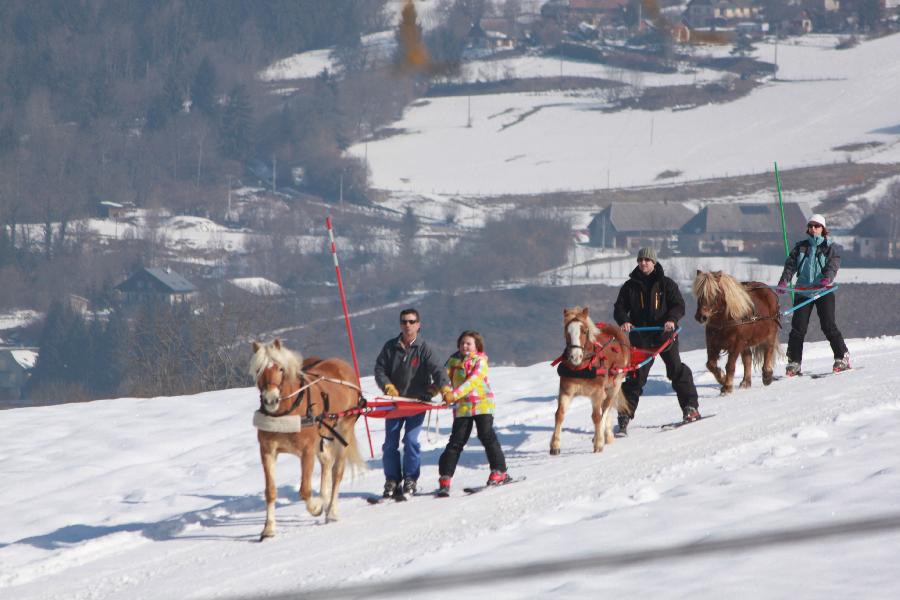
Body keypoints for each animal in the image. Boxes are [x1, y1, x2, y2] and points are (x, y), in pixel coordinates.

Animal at [248, 340, 364, 540]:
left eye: (280, 368)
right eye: (258, 369)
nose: (270, 400)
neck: (287, 411)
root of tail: (342, 364)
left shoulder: (307, 451)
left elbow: (305, 490)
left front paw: (316, 507)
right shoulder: (267, 451)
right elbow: (270, 491)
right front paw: (269, 528)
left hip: (344, 429)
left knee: (337, 471)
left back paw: (331, 510)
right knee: (327, 462)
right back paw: (325, 499)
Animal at [548, 310, 632, 454]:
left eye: (584, 331)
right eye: (567, 331)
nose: (575, 356)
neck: (582, 367)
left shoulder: (597, 393)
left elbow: (597, 416)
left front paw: (598, 443)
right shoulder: (566, 391)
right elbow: (559, 414)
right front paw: (555, 445)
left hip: (615, 386)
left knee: (606, 408)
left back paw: (601, 436)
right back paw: (607, 435)